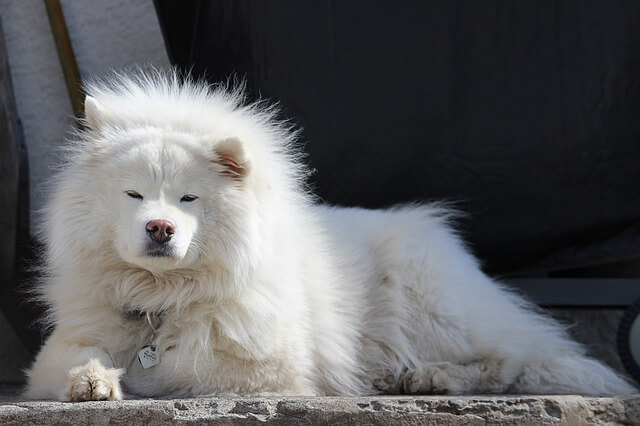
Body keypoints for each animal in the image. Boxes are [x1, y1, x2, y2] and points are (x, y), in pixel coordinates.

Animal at [25, 70, 636, 402]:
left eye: (187, 199)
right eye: (133, 195)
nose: (160, 226)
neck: (163, 298)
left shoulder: (266, 370)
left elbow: (185, 370)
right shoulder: (66, 344)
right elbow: (79, 359)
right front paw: (93, 380)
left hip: (428, 303)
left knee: (511, 358)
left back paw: (431, 377)